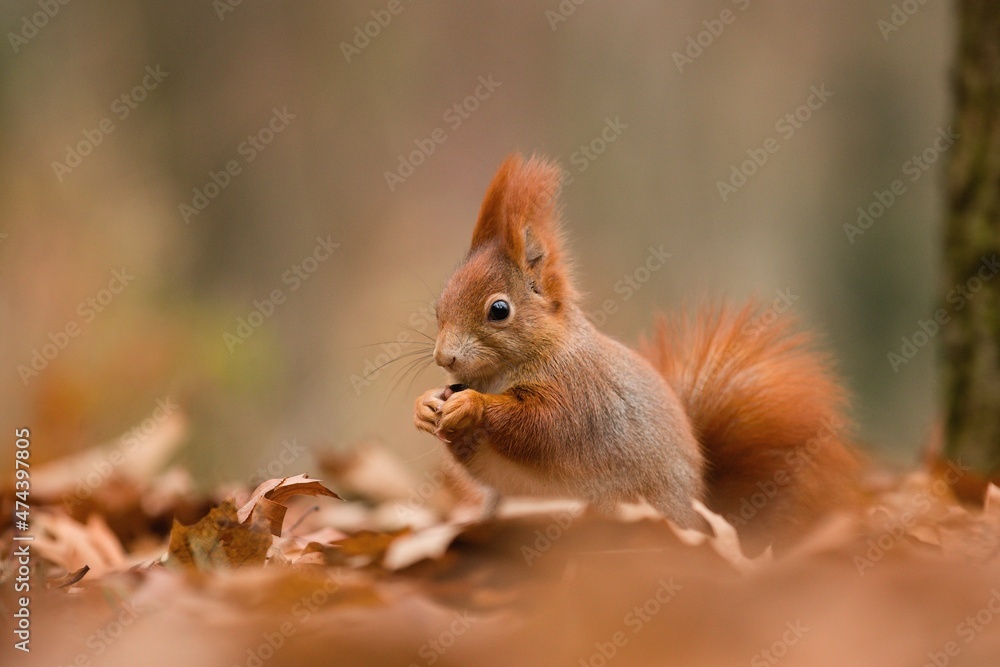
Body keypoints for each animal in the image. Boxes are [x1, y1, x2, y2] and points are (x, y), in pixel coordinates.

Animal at [412, 153, 860, 552]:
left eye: (499, 310)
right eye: (439, 306)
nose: (444, 359)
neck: (502, 373)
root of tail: (703, 512)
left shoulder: (579, 396)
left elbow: (539, 426)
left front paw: (471, 404)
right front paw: (426, 406)